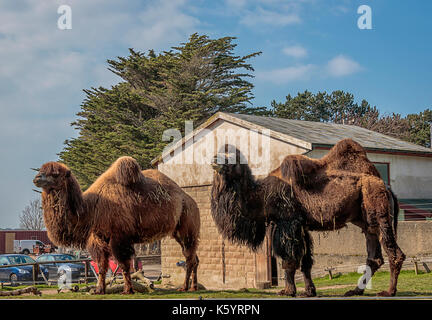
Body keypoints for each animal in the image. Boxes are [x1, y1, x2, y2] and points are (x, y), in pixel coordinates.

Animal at [33, 156, 200, 294]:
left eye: (55, 174)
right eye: (41, 170)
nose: (36, 178)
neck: (90, 210)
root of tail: (190, 200)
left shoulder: (119, 237)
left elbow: (124, 265)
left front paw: (127, 290)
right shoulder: (98, 238)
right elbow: (101, 267)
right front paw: (99, 290)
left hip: (187, 227)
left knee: (189, 258)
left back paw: (185, 287)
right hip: (179, 232)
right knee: (194, 258)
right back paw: (193, 287)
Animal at [211, 139, 404, 298]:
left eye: (230, 158)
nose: (214, 160)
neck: (262, 196)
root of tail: (387, 188)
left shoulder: (288, 222)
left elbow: (289, 260)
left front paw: (288, 291)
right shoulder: (302, 226)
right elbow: (306, 262)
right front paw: (310, 291)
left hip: (378, 210)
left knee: (394, 252)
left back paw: (389, 291)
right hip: (366, 221)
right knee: (374, 257)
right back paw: (355, 291)